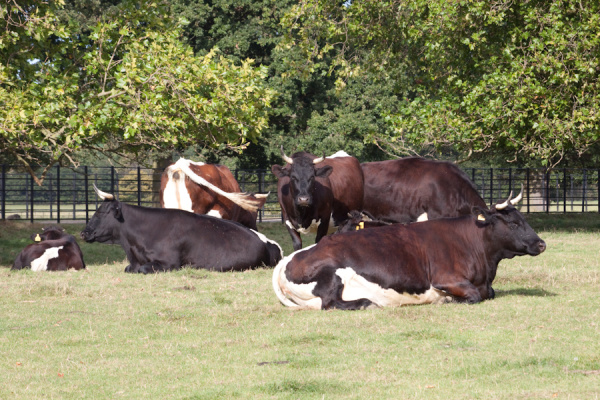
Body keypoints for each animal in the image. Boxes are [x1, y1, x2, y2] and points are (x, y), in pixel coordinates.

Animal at [274, 189, 548, 310]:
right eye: (513, 223)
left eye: (523, 219)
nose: (541, 243)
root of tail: (289, 259)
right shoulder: (445, 278)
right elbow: (473, 295)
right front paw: (447, 299)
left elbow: (488, 293)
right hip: (332, 275)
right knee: (330, 303)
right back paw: (366, 302)